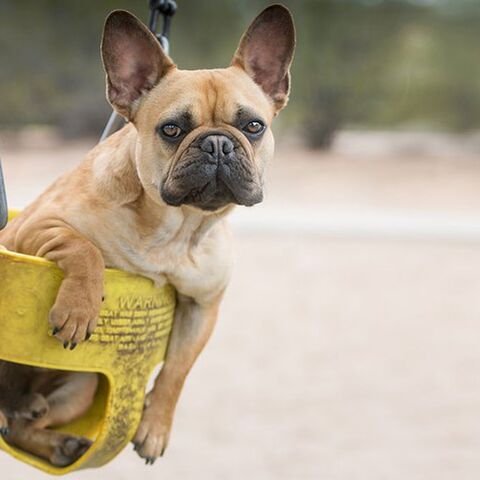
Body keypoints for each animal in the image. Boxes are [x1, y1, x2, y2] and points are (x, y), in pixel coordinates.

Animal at [0, 4, 292, 464]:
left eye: (253, 126)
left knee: (19, 426)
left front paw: (155, 428)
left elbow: (176, 371)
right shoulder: (37, 224)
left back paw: (55, 439)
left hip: (79, 388)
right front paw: (79, 309)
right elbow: (83, 248)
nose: (217, 144)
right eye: (171, 129)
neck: (177, 227)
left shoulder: (201, 308)